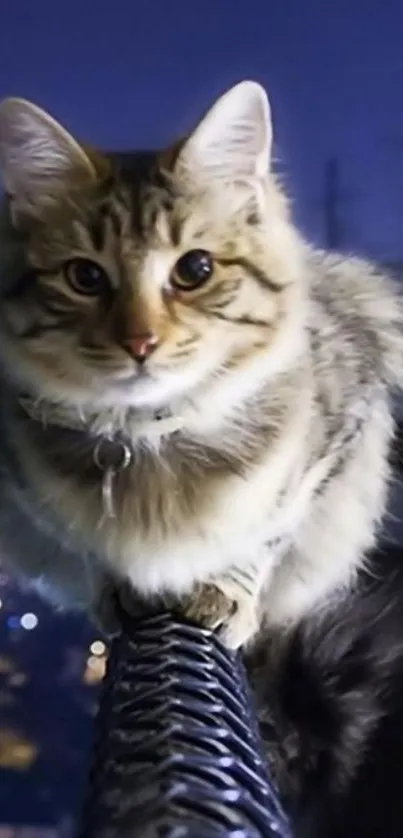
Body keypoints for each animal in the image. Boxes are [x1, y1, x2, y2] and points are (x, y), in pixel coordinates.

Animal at [0, 82, 402, 648]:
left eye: (195, 269)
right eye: (85, 277)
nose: (140, 342)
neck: (148, 437)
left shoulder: (335, 446)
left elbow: (266, 535)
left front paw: (225, 591)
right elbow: (92, 551)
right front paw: (120, 591)